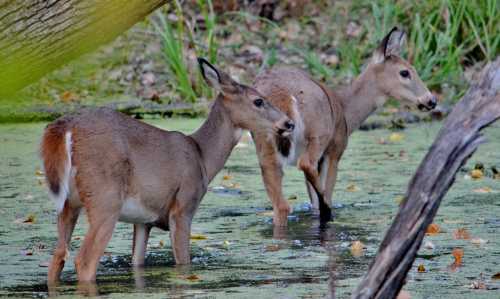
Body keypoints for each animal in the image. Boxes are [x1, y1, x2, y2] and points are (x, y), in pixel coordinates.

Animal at [41, 58, 294, 284]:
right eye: (258, 101)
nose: (289, 123)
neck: (202, 157)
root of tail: (66, 127)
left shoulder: (144, 221)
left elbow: (137, 262)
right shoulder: (183, 206)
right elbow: (183, 263)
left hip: (68, 204)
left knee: (57, 257)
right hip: (105, 198)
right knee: (84, 260)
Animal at [252, 27, 436, 227]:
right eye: (404, 72)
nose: (431, 100)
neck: (346, 110)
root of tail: (282, 95)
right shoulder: (335, 150)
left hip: (265, 148)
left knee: (281, 205)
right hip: (318, 133)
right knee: (307, 167)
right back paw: (327, 212)